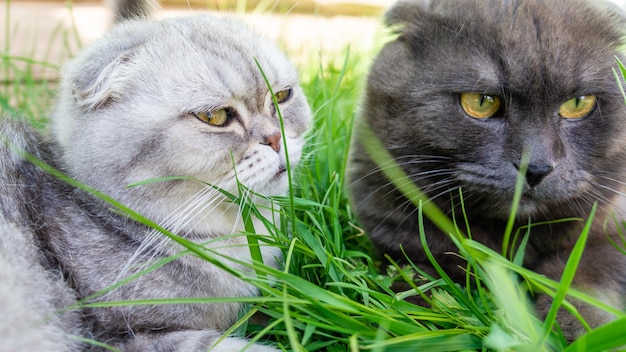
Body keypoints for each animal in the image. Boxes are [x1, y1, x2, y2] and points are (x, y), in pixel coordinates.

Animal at [348, 0, 624, 342]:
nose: (536, 167)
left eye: (578, 103)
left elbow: (584, 285)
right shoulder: (401, 236)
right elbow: (420, 287)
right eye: (481, 101)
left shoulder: (606, 237)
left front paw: (587, 332)